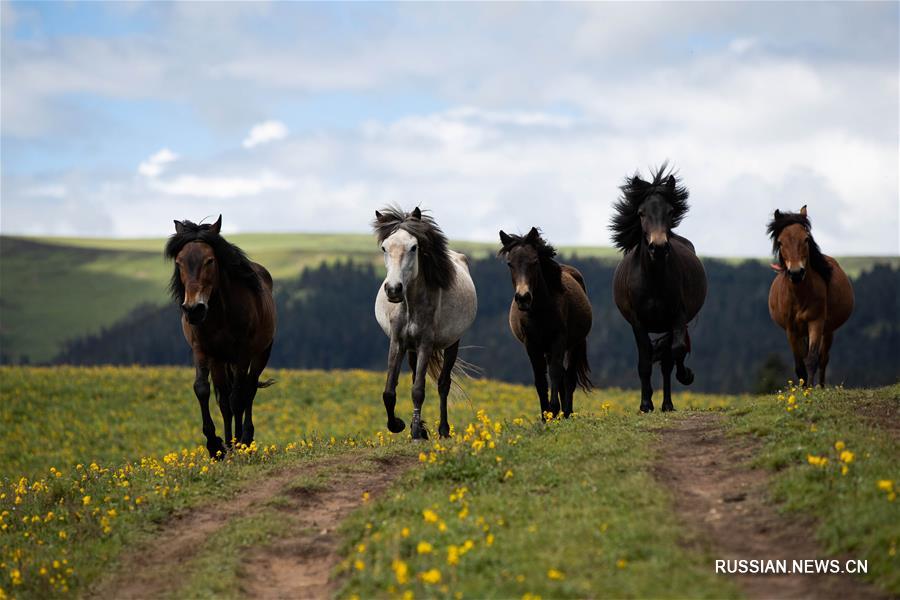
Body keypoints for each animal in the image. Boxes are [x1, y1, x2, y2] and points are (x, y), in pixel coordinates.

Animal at [165, 216, 276, 454]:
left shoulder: (243, 354)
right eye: (179, 262)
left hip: (260, 353)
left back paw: (245, 438)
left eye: (209, 261)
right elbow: (203, 390)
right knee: (225, 400)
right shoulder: (204, 351)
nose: (193, 309)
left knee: (248, 390)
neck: (220, 315)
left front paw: (238, 444)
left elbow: (237, 398)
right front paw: (216, 445)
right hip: (222, 361)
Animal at [372, 209, 478, 438]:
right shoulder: (398, 342)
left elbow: (418, 390)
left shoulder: (426, 344)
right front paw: (399, 425)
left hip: (451, 344)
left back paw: (443, 430)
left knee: (443, 384)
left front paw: (415, 433)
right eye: (384, 247)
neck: (411, 306)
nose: (393, 289)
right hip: (411, 349)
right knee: (414, 376)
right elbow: (389, 391)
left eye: (414, 247)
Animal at [496, 227, 596, 420]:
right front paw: (546, 415)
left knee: (569, 378)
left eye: (534, 261)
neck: (540, 311)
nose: (523, 298)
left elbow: (555, 374)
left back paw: (567, 413)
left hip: (575, 344)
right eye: (510, 263)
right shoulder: (532, 345)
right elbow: (540, 379)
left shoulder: (558, 340)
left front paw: (554, 410)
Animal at [608, 164, 708, 412]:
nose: (659, 247)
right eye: (641, 213)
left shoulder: (677, 316)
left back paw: (668, 404)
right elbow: (645, 360)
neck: (653, 279)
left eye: (670, 212)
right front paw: (645, 404)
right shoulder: (638, 322)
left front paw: (686, 376)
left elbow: (676, 351)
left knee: (667, 361)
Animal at [768, 205, 856, 384]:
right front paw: (803, 387)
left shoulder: (816, 322)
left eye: (806, 239)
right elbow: (799, 364)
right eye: (780, 242)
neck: (800, 296)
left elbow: (812, 359)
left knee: (823, 359)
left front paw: (810, 387)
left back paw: (821, 386)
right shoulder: (791, 330)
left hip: (828, 330)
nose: (796, 273)